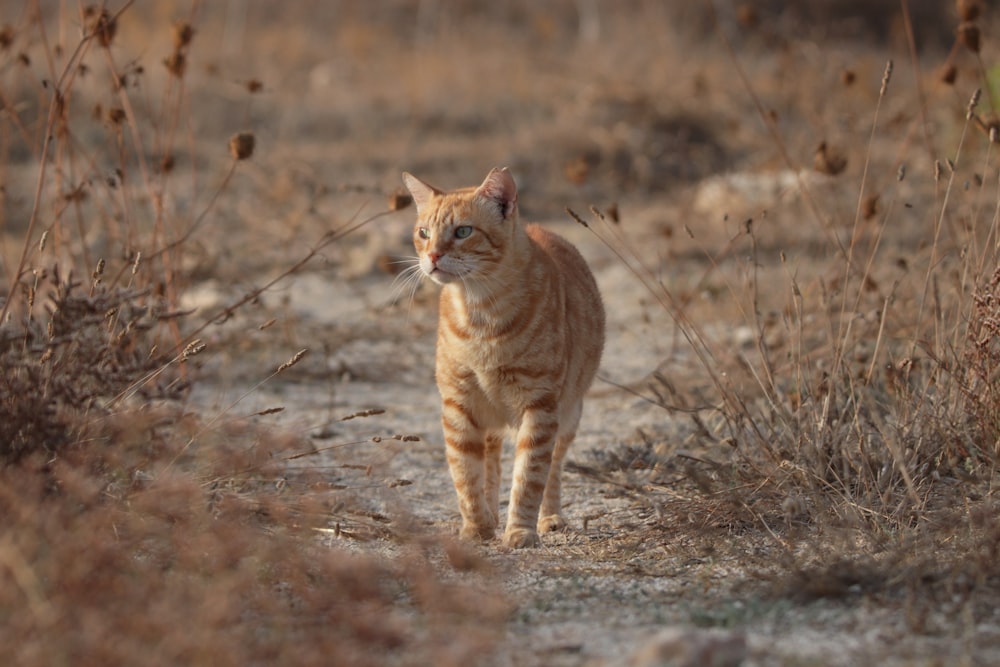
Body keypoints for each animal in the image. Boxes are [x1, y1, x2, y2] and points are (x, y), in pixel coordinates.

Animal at [402, 167, 604, 548]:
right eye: (423, 233)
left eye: (463, 231)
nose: (432, 256)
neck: (481, 316)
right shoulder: (459, 404)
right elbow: (466, 475)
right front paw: (478, 526)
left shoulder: (540, 407)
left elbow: (530, 476)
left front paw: (520, 530)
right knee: (491, 459)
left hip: (569, 414)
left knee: (554, 467)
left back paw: (549, 517)